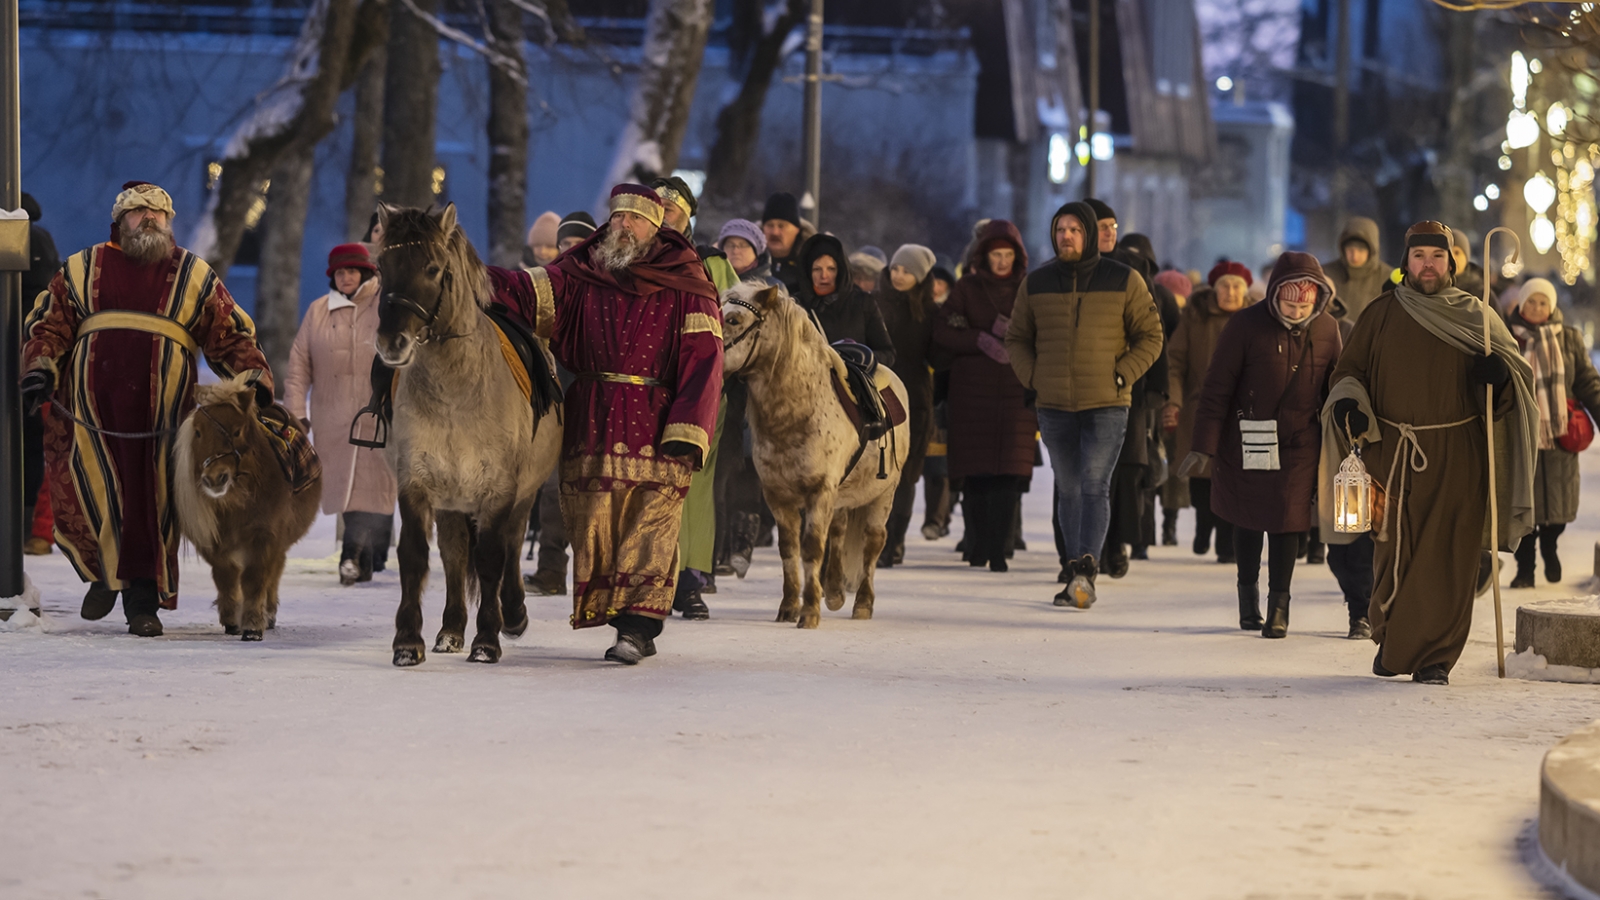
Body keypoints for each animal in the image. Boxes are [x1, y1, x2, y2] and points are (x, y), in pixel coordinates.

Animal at [371, 204, 560, 666]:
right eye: (382, 266)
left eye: (433, 268)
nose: (391, 342)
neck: (455, 396)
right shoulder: (416, 481)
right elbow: (415, 557)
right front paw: (409, 641)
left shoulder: (499, 488)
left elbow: (492, 558)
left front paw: (488, 639)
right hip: (452, 500)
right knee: (456, 554)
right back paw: (451, 630)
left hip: (522, 493)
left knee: (511, 544)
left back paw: (512, 612)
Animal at [720, 280, 908, 624]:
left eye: (734, 319)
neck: (797, 413)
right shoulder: (778, 496)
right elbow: (790, 549)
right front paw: (789, 606)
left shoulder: (820, 491)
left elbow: (811, 549)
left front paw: (808, 613)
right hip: (842, 495)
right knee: (838, 531)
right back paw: (833, 592)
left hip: (883, 493)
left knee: (873, 543)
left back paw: (863, 602)